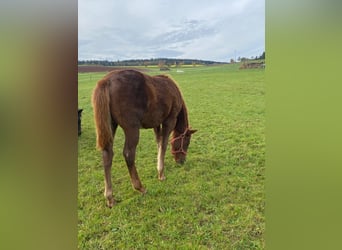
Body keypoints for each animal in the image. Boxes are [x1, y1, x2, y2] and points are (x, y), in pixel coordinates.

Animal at [92, 70, 196, 207]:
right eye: (187, 142)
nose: (181, 161)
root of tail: (106, 81)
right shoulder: (169, 120)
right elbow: (164, 144)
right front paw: (161, 174)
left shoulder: (156, 123)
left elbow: (158, 142)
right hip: (132, 128)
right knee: (128, 154)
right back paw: (140, 187)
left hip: (111, 125)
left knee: (107, 154)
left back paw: (110, 197)